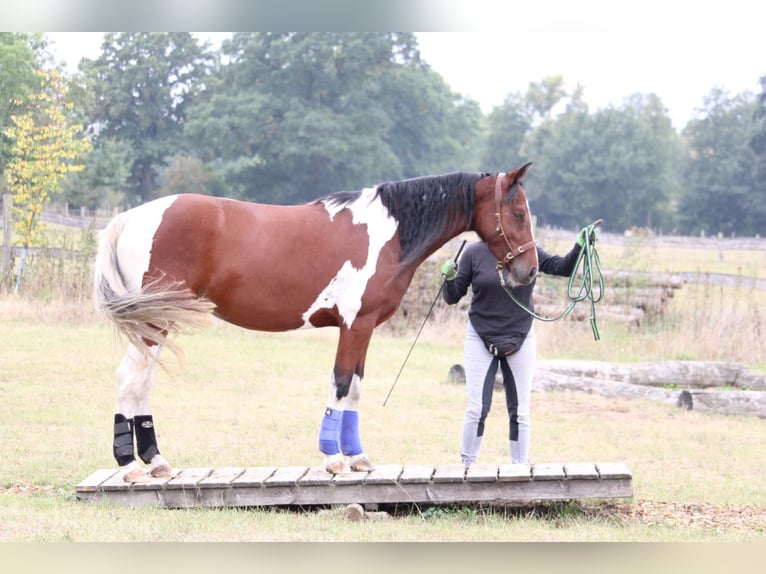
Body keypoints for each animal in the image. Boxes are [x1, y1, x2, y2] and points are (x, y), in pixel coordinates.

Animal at [92, 162, 539, 483]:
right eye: (518, 213)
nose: (530, 271)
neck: (389, 234)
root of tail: (129, 218)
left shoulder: (363, 329)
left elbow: (355, 387)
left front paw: (357, 457)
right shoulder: (354, 325)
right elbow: (340, 384)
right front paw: (334, 459)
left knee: (141, 383)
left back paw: (155, 463)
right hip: (153, 323)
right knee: (129, 380)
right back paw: (131, 466)